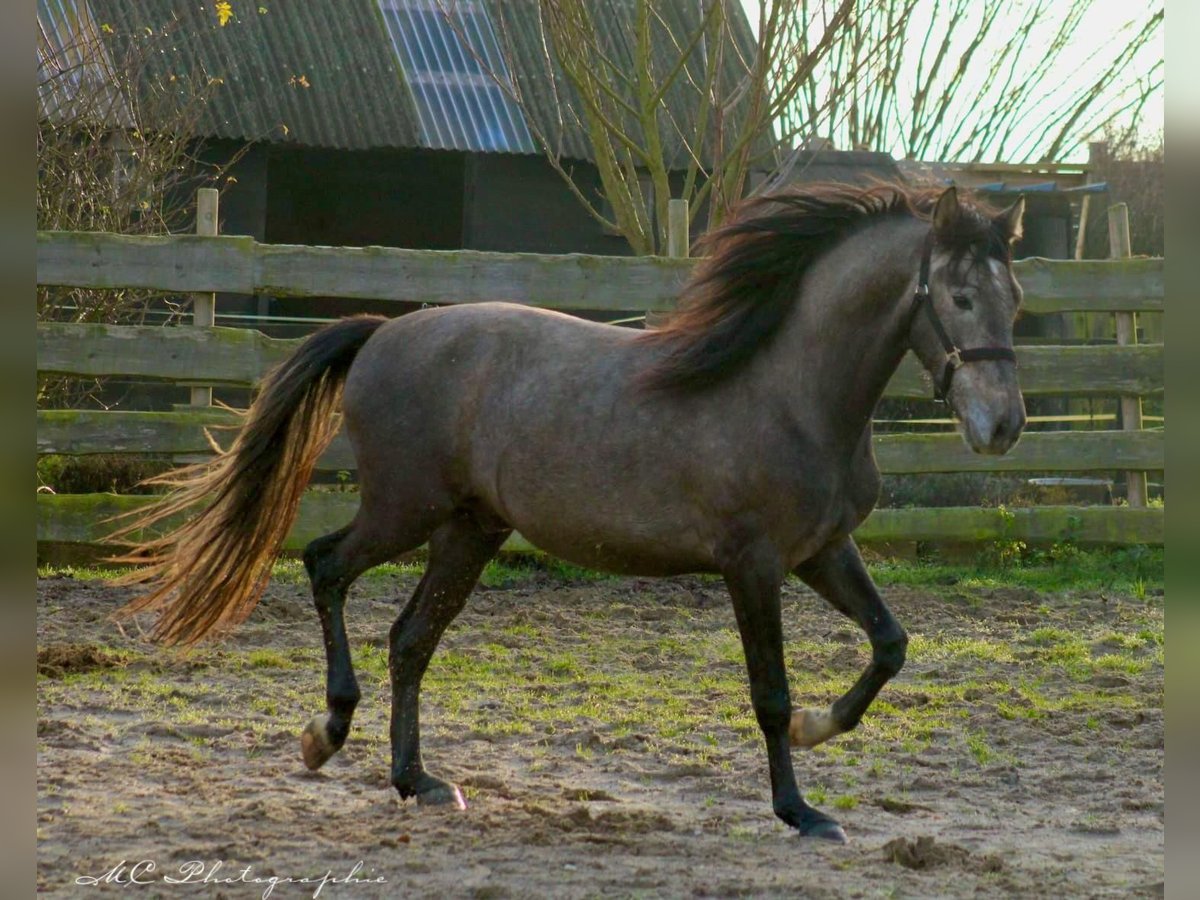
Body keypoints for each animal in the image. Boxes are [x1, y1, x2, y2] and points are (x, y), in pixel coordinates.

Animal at [117, 181, 1027, 844]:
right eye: (958, 294)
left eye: (1013, 293)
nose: (1003, 427)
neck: (791, 394)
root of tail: (382, 333)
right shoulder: (754, 564)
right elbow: (768, 690)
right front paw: (800, 812)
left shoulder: (823, 550)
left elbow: (890, 644)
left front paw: (818, 727)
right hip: (404, 509)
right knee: (326, 567)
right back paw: (326, 732)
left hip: (469, 529)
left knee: (411, 639)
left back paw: (419, 781)